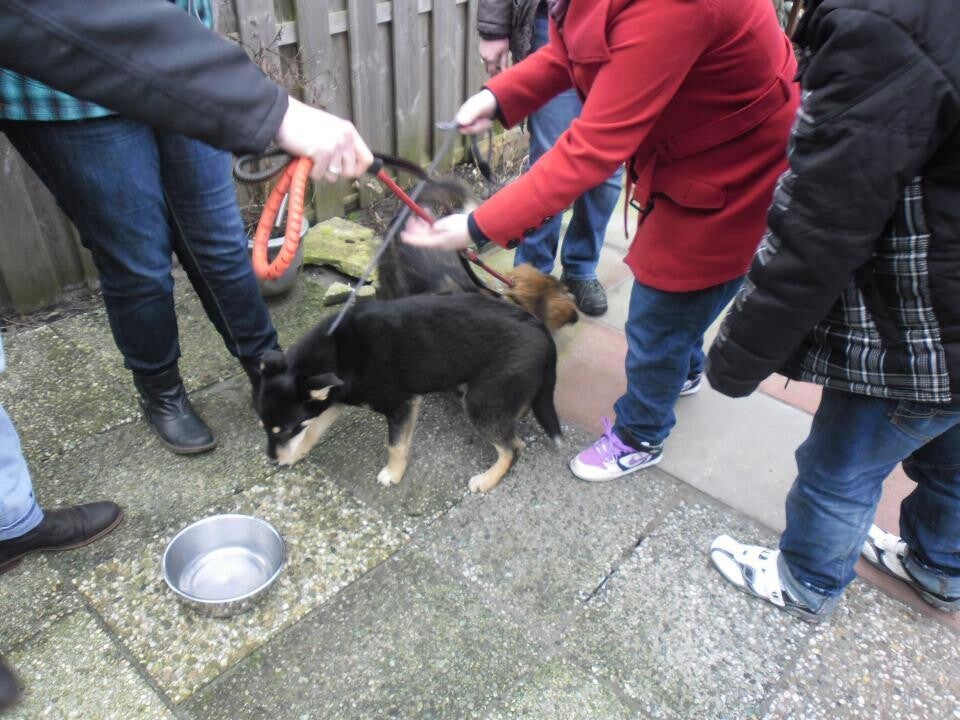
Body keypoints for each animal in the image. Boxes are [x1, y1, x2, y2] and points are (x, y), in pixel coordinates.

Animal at [257, 292, 562, 493]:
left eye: (285, 430)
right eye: (264, 427)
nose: (272, 460)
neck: (338, 350)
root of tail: (544, 333)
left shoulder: (400, 405)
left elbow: (395, 446)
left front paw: (393, 474)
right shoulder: (335, 399)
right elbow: (313, 429)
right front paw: (295, 454)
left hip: (480, 403)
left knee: (513, 448)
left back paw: (487, 480)